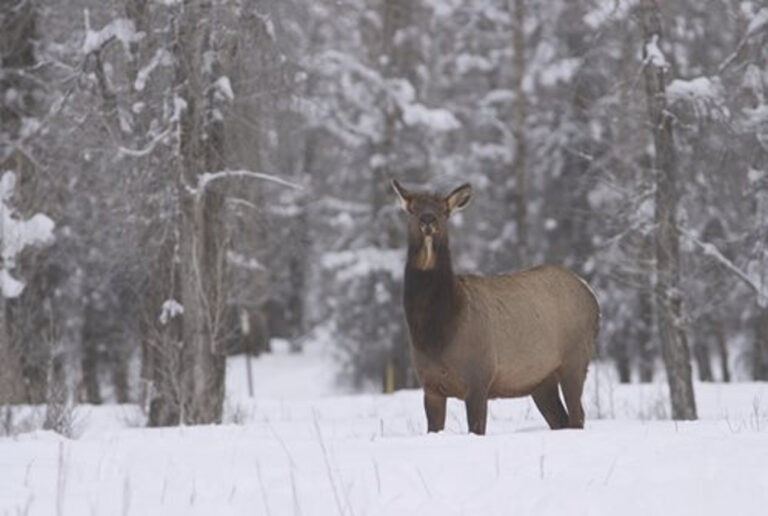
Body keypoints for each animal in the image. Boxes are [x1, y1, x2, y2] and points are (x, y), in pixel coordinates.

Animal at [390, 179, 600, 434]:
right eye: (411, 209)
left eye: (444, 211)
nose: (428, 219)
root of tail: (591, 295)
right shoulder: (430, 386)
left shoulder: (479, 378)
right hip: (541, 380)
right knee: (561, 419)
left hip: (575, 358)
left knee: (577, 416)